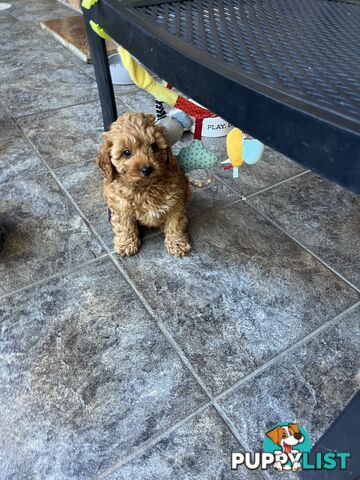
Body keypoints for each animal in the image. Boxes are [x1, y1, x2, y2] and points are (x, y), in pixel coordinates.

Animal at [95, 112, 191, 256]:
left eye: (153, 146)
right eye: (126, 153)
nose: (147, 169)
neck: (145, 187)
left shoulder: (176, 201)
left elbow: (175, 224)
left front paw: (177, 243)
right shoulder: (121, 205)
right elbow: (124, 225)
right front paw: (126, 243)